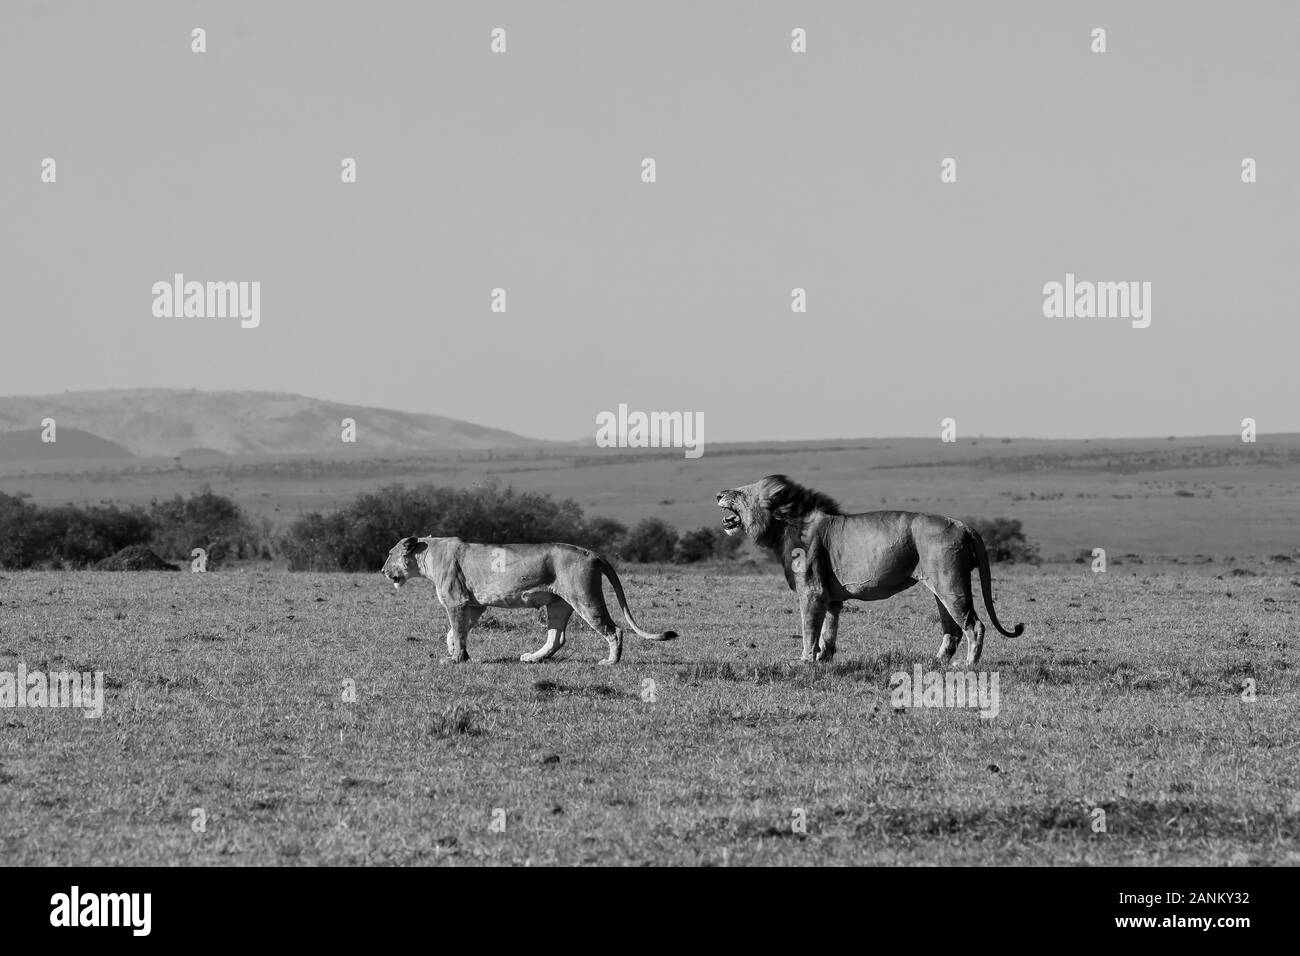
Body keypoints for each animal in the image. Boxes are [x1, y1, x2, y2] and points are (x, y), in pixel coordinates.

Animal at [382, 536, 677, 665]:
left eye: (389, 553)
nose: (383, 570)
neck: (427, 553)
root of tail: (591, 552)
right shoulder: (475, 604)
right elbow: (456, 632)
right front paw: (457, 653)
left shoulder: (457, 601)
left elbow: (456, 630)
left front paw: (455, 659)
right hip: (558, 604)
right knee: (557, 638)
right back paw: (533, 658)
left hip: (585, 597)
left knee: (614, 629)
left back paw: (610, 662)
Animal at [716, 475, 1024, 665]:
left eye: (739, 492)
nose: (718, 493)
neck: (784, 525)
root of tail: (963, 524)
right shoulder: (831, 598)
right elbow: (828, 631)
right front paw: (824, 659)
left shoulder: (811, 591)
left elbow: (809, 629)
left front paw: (804, 661)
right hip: (942, 587)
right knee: (953, 630)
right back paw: (935, 663)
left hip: (951, 584)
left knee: (975, 625)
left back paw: (968, 665)